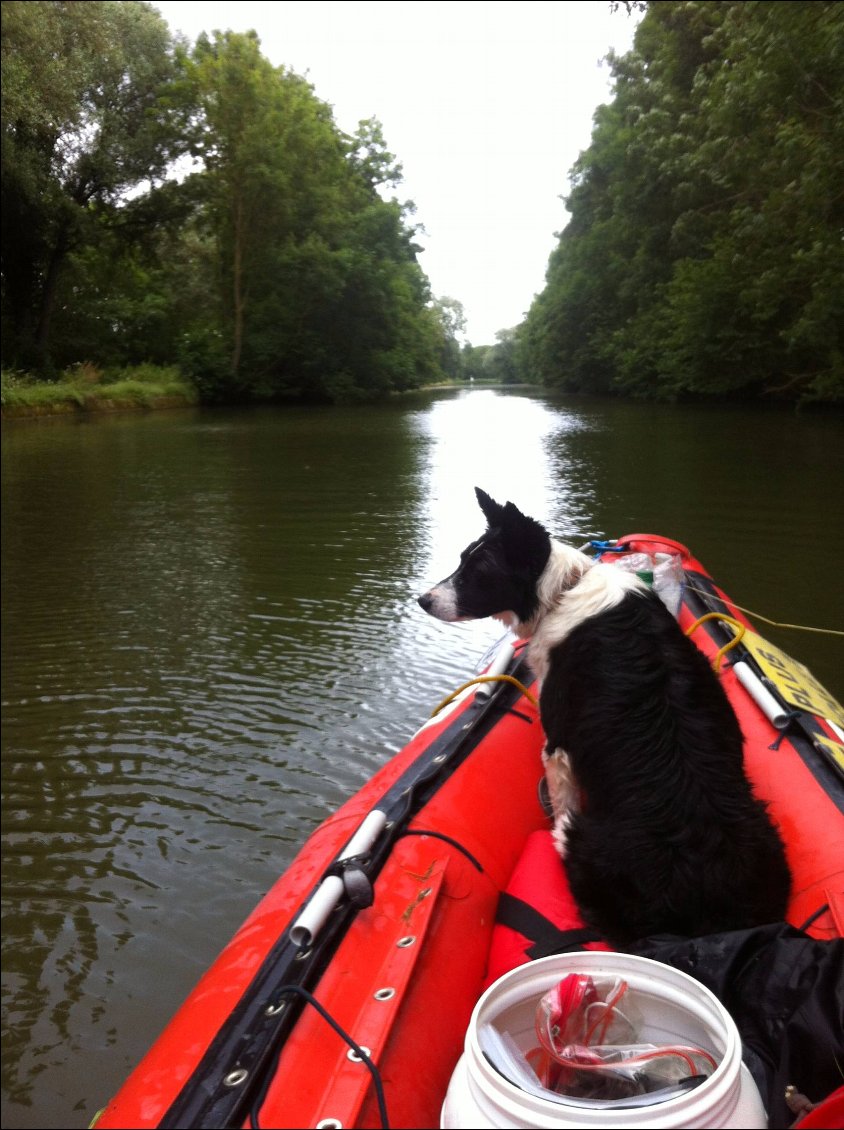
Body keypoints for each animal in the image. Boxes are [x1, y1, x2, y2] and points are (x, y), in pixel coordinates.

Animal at [420, 488, 795, 944]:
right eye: (462, 560)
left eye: (479, 572)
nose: (422, 600)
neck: (563, 591)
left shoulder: (558, 743)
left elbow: (560, 790)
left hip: (587, 838)